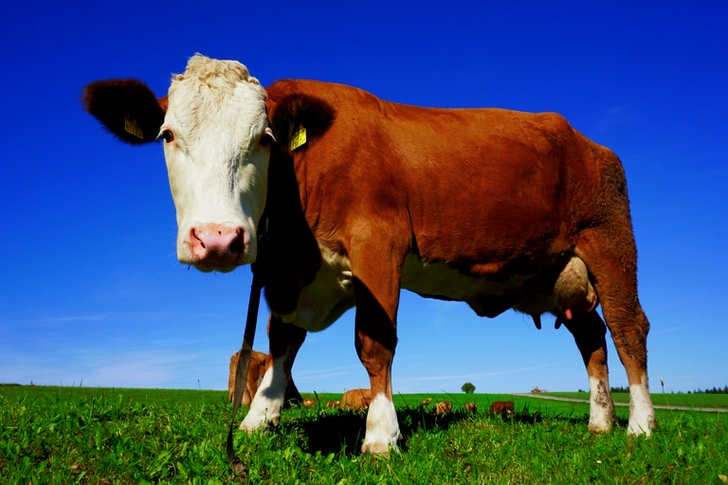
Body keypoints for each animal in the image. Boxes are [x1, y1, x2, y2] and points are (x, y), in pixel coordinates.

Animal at [83, 54, 656, 455]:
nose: (219, 239)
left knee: (628, 330)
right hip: (557, 275)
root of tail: (590, 143)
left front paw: (381, 435)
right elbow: (281, 342)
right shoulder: (291, 274)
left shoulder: (378, 244)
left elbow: (374, 344)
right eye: (167, 135)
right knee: (591, 337)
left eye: (263, 139)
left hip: (609, 243)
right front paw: (256, 420)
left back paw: (640, 426)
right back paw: (599, 423)